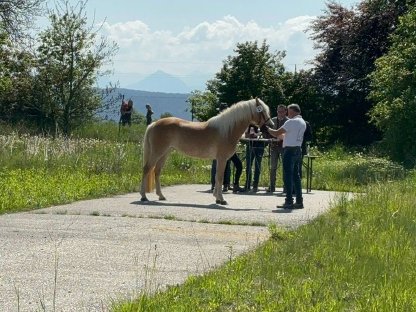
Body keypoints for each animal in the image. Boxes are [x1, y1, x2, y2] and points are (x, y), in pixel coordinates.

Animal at [140, 97, 274, 205]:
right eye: (262, 111)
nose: (271, 126)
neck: (227, 130)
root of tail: (154, 124)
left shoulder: (221, 160)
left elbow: (217, 177)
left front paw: (217, 198)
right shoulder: (222, 159)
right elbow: (219, 177)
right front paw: (221, 200)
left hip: (165, 153)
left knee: (157, 171)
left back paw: (161, 196)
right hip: (157, 152)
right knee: (147, 169)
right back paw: (143, 197)